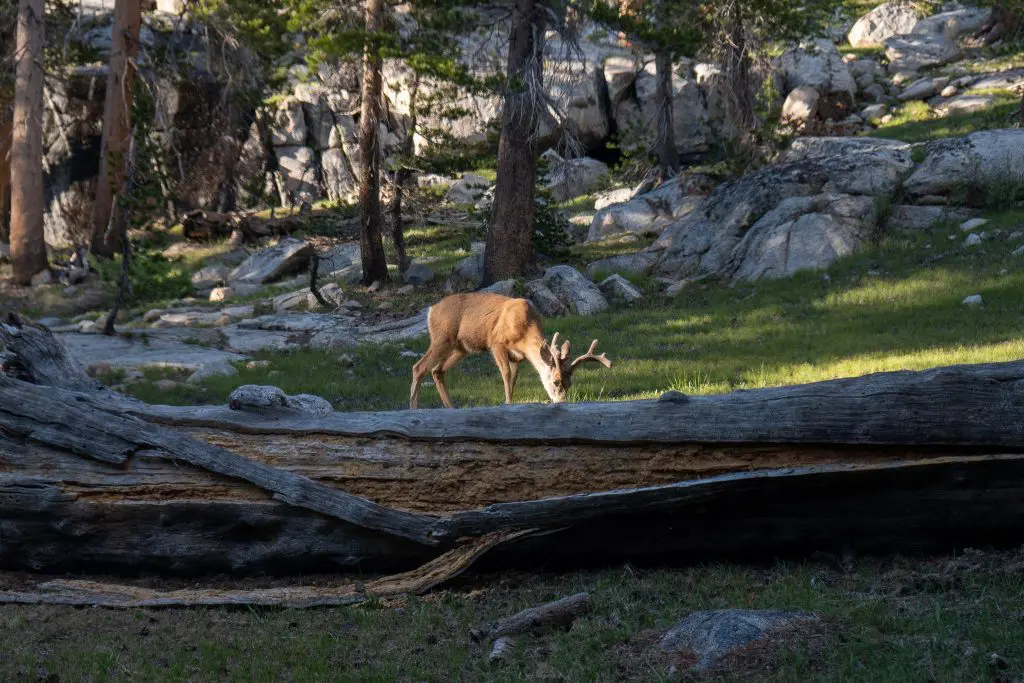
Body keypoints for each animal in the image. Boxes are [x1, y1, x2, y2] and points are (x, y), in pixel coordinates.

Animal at [409, 290, 614, 409]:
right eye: (556, 381)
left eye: (569, 383)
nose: (562, 401)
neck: (525, 328)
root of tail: (431, 310)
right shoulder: (496, 343)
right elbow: (506, 374)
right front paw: (507, 403)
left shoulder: (518, 357)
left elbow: (514, 379)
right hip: (442, 338)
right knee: (419, 367)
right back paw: (413, 408)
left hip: (461, 348)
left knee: (437, 370)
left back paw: (451, 408)